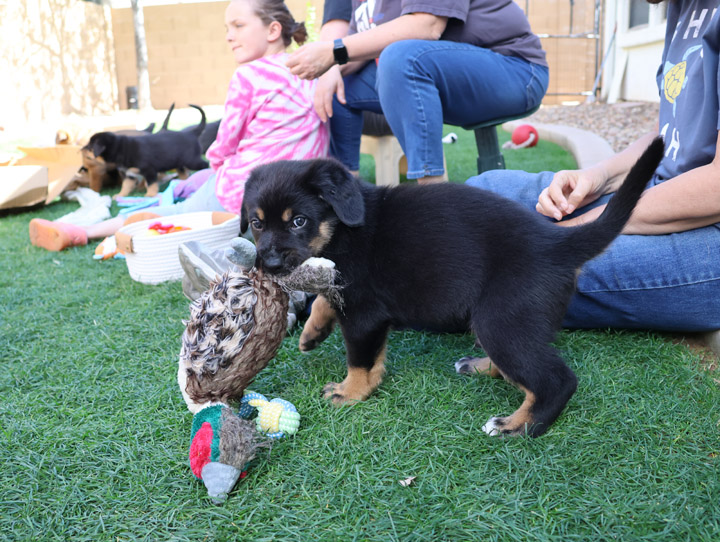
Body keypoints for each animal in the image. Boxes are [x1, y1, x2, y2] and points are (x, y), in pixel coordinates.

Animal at [240, 139, 664, 438]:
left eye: (298, 221)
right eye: (256, 223)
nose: (270, 265)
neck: (344, 229)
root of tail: (556, 242)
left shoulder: (365, 314)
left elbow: (361, 359)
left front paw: (350, 392)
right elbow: (326, 298)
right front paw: (313, 331)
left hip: (501, 318)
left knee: (556, 380)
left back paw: (517, 426)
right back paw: (479, 367)